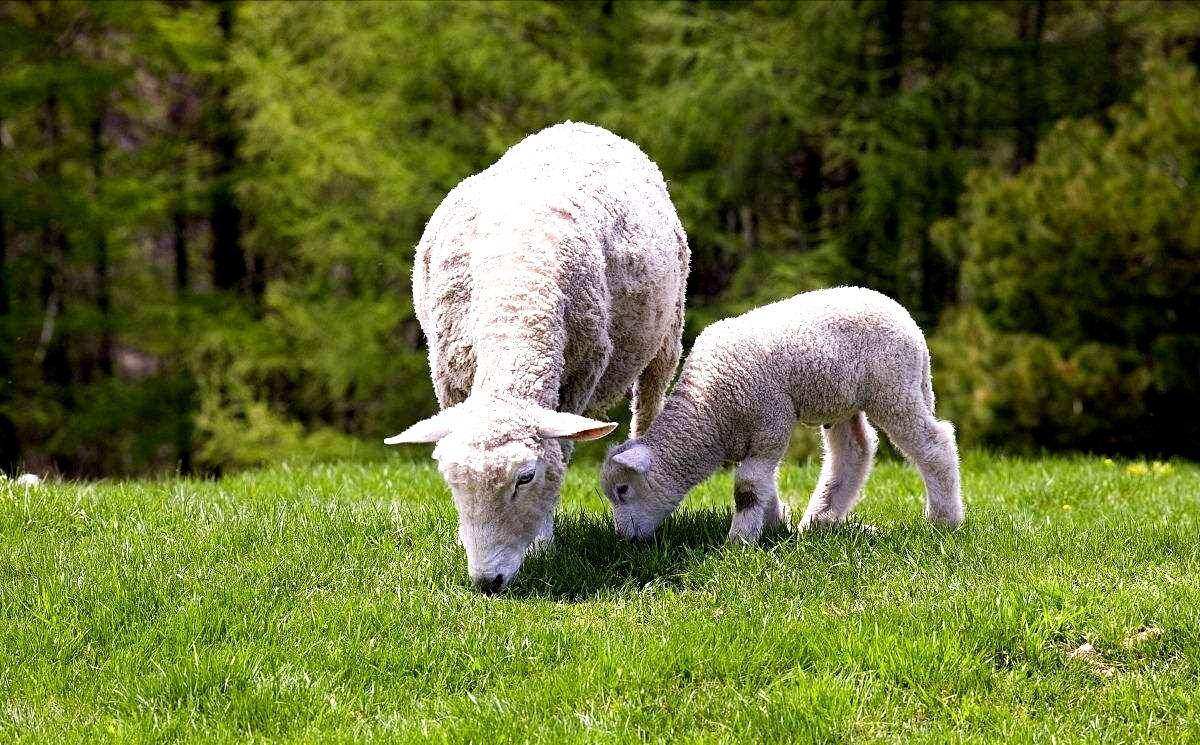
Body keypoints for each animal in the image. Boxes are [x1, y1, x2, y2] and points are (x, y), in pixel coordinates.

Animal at [384, 124, 686, 595]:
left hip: (668, 332)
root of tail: (579, 126)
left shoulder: (580, 375)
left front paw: (543, 542)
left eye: (525, 477)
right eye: (451, 479)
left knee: (649, 404)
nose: (488, 582)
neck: (515, 295)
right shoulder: (449, 376)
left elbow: (559, 453)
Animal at [600, 284, 964, 539]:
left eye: (623, 490)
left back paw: (944, 520)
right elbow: (764, 485)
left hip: (893, 388)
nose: (625, 539)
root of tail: (906, 319)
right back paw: (820, 520)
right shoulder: (755, 440)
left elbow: (747, 487)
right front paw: (773, 525)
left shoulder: (770, 424)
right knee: (855, 451)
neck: (709, 413)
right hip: (842, 400)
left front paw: (739, 542)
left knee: (934, 443)